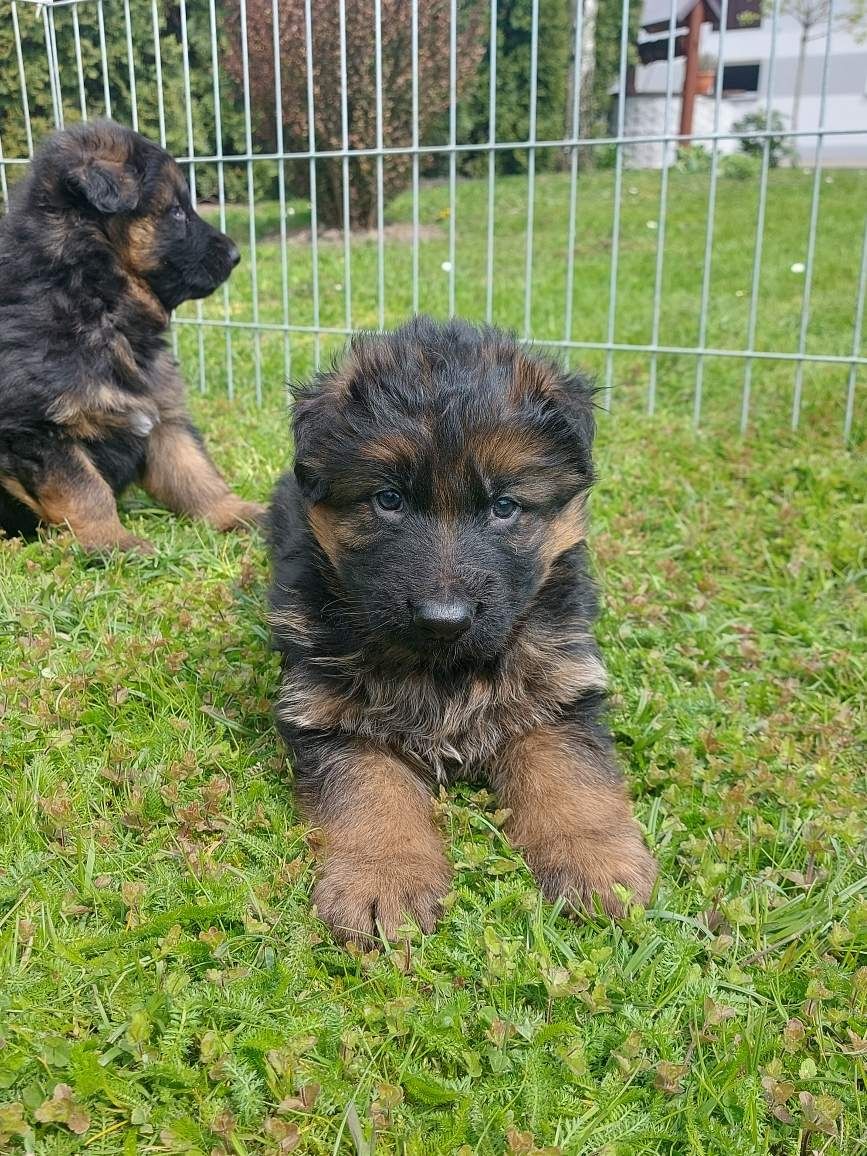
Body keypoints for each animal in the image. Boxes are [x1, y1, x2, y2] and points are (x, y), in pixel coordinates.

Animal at [0, 119, 264, 552]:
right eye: (176, 211)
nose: (235, 255)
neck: (98, 304)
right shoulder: (37, 430)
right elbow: (84, 489)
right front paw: (111, 542)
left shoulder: (162, 413)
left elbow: (195, 472)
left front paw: (238, 513)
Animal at [268, 312, 656, 943]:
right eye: (389, 499)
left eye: (504, 506)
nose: (442, 620)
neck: (444, 669)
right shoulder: (330, 710)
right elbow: (371, 794)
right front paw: (383, 878)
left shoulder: (558, 691)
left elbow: (573, 778)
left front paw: (597, 862)